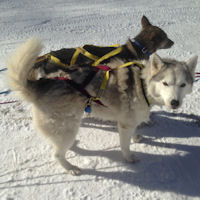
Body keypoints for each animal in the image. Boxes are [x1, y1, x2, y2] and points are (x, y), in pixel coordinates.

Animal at [7, 38, 197, 175]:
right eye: (165, 83)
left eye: (182, 84)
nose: (174, 103)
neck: (142, 83)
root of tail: (41, 83)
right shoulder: (125, 124)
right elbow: (125, 146)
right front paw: (129, 157)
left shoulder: (129, 121)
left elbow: (133, 133)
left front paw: (136, 138)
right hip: (68, 128)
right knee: (57, 154)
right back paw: (71, 168)